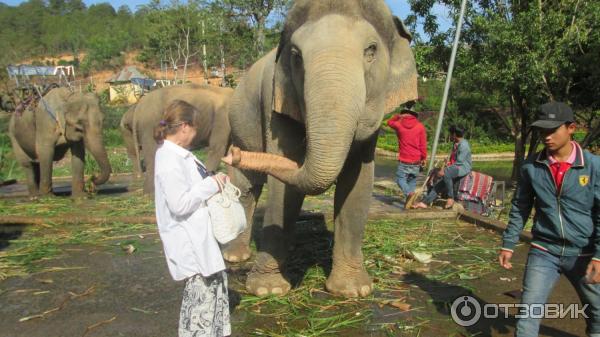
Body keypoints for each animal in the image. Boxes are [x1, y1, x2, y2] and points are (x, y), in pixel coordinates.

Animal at [224, 1, 418, 298]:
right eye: (296, 56)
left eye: (371, 50)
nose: (232, 155)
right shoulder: (277, 102)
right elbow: (284, 187)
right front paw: (269, 291)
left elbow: (358, 182)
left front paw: (354, 290)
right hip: (241, 125)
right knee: (246, 188)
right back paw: (235, 257)